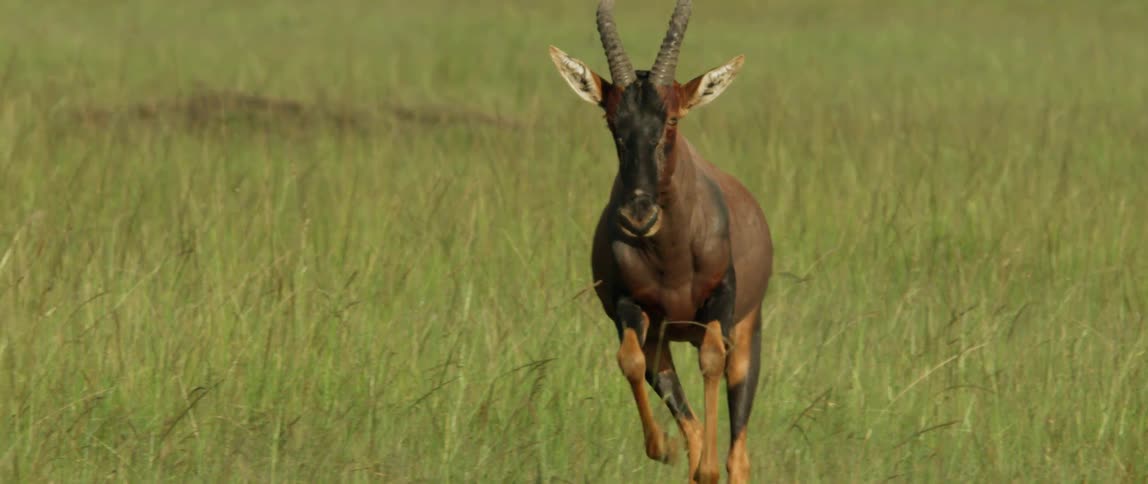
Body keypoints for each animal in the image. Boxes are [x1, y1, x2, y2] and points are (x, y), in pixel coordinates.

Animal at [548, 0, 773, 482]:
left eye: (671, 118)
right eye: (612, 120)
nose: (638, 215)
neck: (671, 257)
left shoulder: (722, 302)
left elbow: (711, 358)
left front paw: (707, 468)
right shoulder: (630, 307)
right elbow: (629, 362)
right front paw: (662, 447)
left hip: (748, 329)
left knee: (738, 449)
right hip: (665, 337)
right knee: (688, 418)